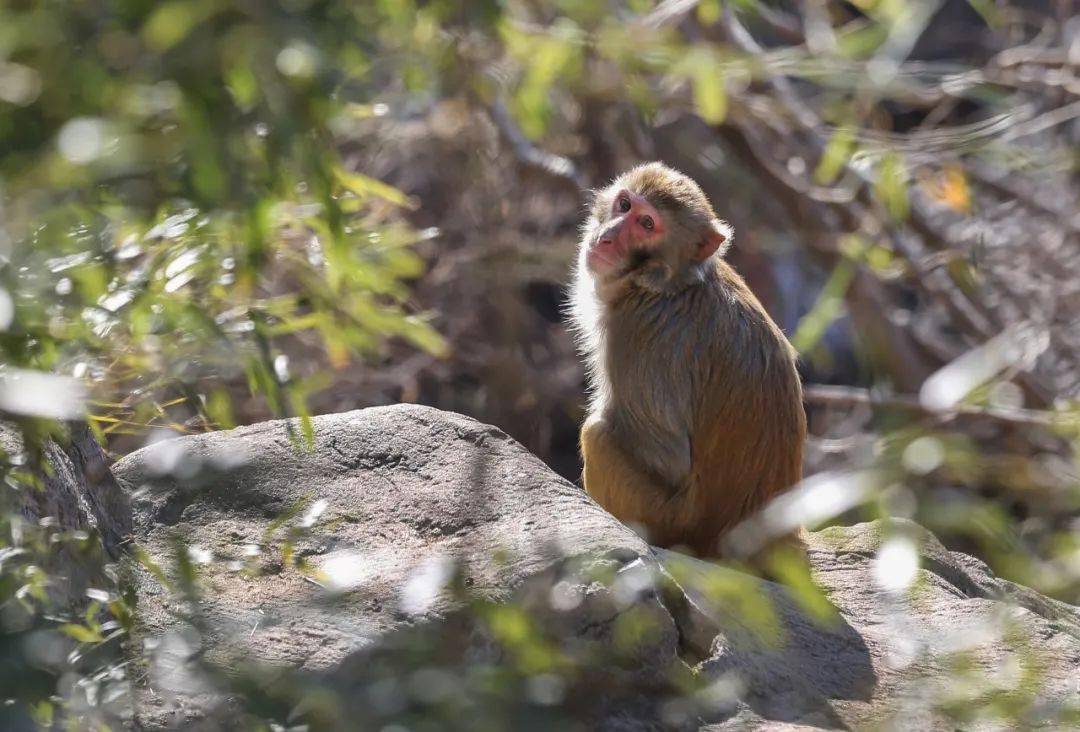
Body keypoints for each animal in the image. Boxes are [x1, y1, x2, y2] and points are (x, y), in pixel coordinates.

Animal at [570, 163, 807, 557]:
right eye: (624, 205)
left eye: (646, 224)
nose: (607, 238)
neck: (666, 283)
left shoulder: (636, 335)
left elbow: (670, 460)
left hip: (669, 521)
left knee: (596, 434)